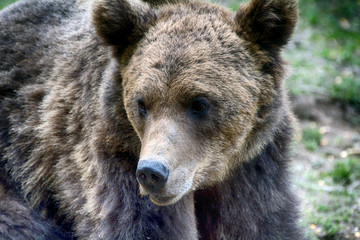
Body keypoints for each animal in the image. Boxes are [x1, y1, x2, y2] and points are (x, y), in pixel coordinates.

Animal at [0, 0, 304, 238]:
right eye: (142, 104)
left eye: (199, 104)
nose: (153, 173)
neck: (208, 175)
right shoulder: (116, 154)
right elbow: (141, 225)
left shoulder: (252, 166)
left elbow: (259, 223)